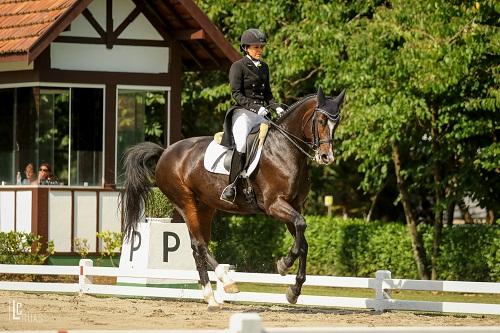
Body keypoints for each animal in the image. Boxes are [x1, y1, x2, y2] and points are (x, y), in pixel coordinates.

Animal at [123, 86, 346, 308]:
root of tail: (165, 152)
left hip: (205, 207)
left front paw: (294, 290)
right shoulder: (275, 205)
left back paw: (210, 297)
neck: (285, 149)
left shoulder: (294, 206)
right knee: (199, 244)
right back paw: (227, 281)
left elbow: (303, 242)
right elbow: (301, 227)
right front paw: (284, 264)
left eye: (337, 123)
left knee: (198, 247)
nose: (326, 157)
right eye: (321, 121)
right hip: (185, 203)